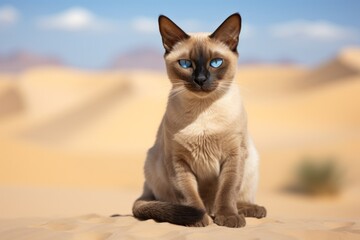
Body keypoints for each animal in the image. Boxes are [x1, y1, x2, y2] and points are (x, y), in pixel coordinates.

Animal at [132, 12, 268, 227]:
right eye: (186, 64)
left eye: (216, 63)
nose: (201, 79)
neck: (203, 112)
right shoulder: (178, 162)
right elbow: (189, 196)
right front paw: (199, 219)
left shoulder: (234, 156)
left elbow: (228, 191)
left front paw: (228, 218)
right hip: (153, 163)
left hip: (251, 159)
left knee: (235, 199)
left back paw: (250, 210)